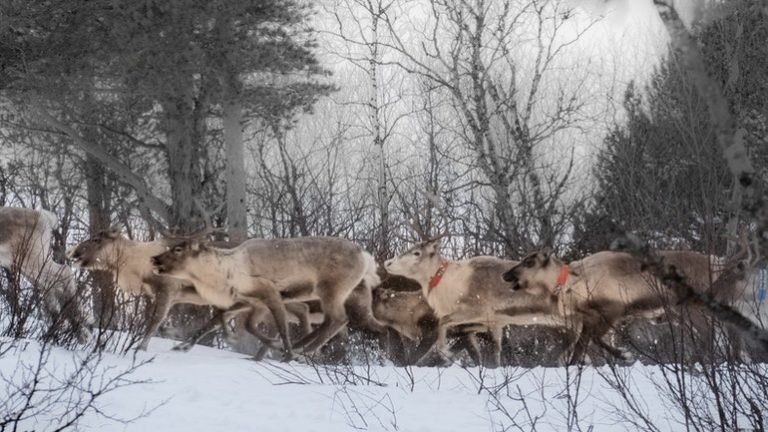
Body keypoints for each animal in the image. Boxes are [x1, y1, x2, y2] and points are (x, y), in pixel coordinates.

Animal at [0, 206, 91, 341]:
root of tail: (44, 217)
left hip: (32, 258)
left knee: (64, 272)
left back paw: (81, 330)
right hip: (24, 265)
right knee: (51, 284)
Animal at [150, 235, 382, 360]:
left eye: (178, 249)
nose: (154, 258)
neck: (230, 273)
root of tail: (367, 258)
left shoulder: (269, 293)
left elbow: (280, 326)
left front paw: (284, 351)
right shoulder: (253, 302)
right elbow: (245, 325)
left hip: (330, 289)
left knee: (337, 319)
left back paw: (302, 350)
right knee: (334, 321)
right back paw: (302, 347)